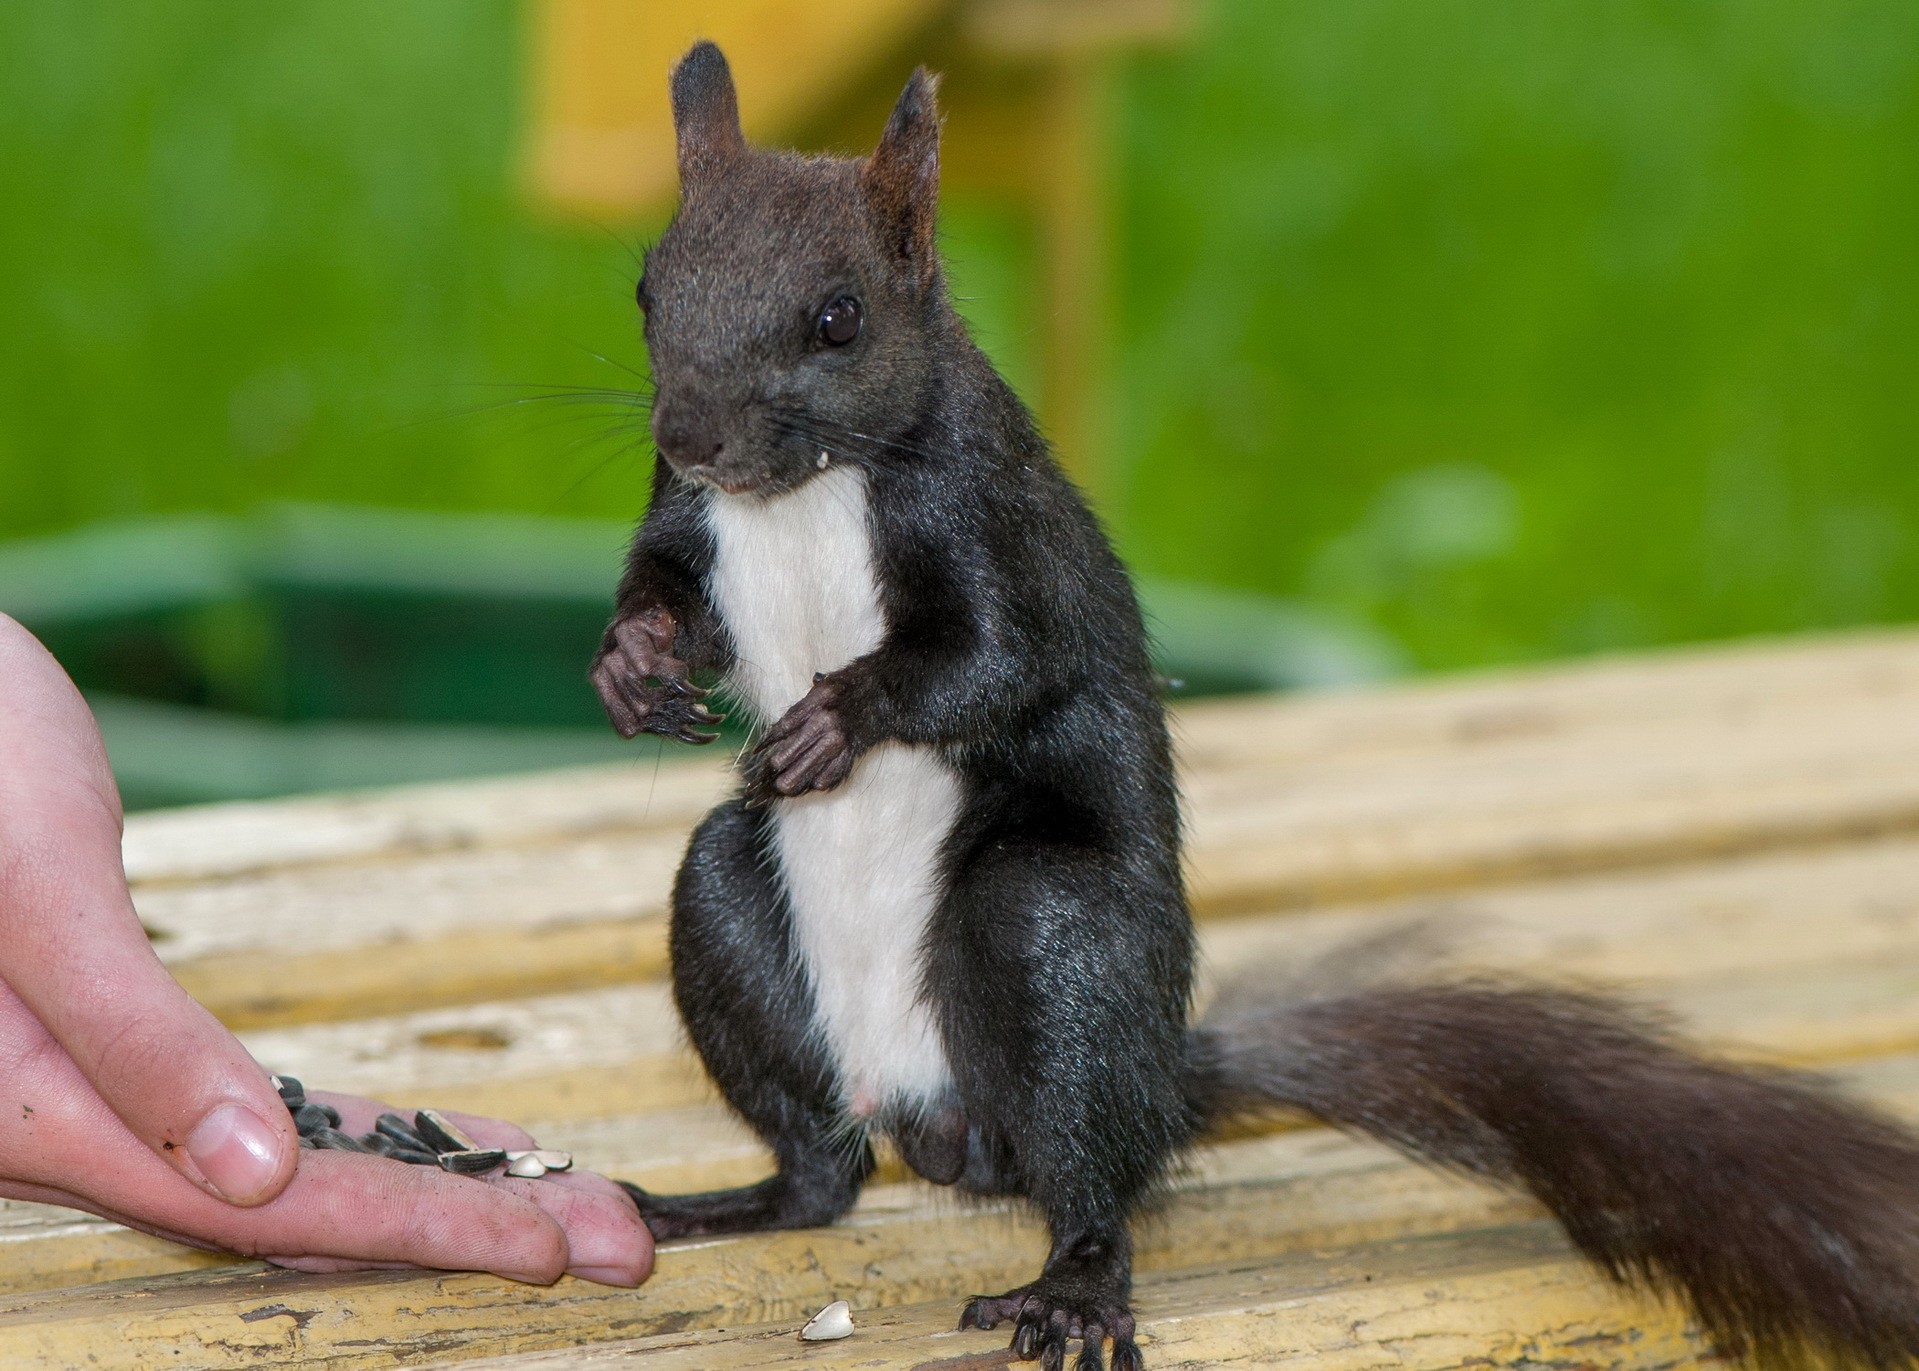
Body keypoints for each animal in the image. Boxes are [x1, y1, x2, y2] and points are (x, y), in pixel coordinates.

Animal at [594, 40, 1919, 1367]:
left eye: (837, 317)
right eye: (648, 291)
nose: (692, 433)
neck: (803, 494)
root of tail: (932, 1110)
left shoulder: (991, 524)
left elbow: (992, 659)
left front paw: (837, 717)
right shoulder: (684, 514)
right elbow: (670, 596)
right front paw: (630, 664)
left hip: (1049, 940)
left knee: (1089, 1175)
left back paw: (1072, 1289)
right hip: (732, 917)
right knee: (821, 1166)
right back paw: (727, 1204)